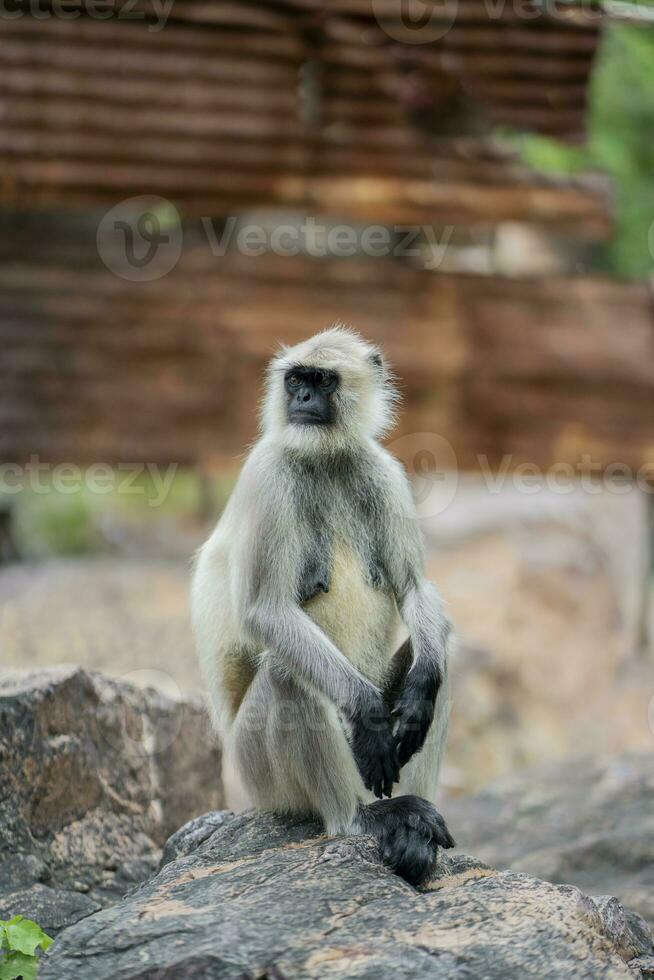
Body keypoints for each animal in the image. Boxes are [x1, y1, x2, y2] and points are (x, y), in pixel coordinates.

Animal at [192, 326, 454, 884]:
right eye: (296, 381)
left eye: (322, 381)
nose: (304, 401)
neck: (326, 459)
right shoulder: (269, 471)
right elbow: (266, 612)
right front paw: (369, 715)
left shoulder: (384, 471)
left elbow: (415, 589)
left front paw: (419, 693)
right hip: (260, 774)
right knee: (287, 672)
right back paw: (361, 818)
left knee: (444, 655)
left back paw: (413, 826)